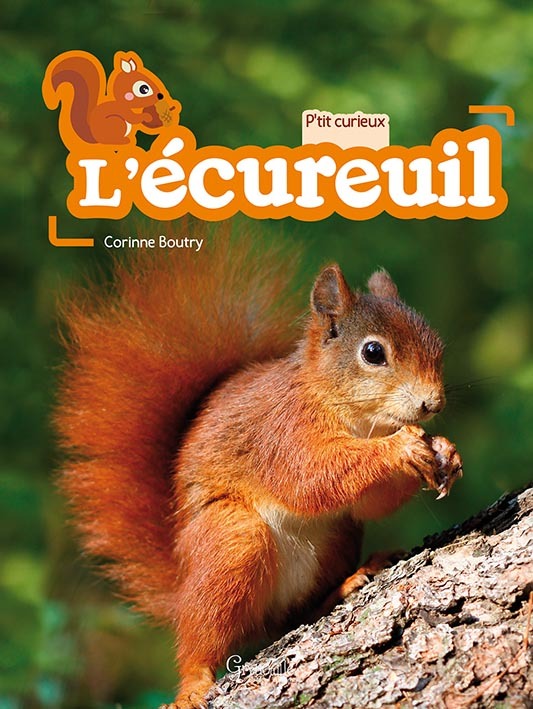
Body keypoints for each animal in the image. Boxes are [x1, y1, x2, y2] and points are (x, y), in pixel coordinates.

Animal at [43, 50, 181, 145]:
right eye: (143, 89)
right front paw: (147, 116)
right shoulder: (123, 111)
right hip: (117, 123)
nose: (160, 95)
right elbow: (134, 117)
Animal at [55, 223, 463, 709]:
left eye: (437, 343)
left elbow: (368, 503)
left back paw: (345, 585)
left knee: (288, 617)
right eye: (373, 353)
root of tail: (181, 578)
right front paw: (400, 448)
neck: (359, 420)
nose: (433, 403)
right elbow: (311, 477)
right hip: (231, 540)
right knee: (205, 634)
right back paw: (193, 681)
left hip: (335, 538)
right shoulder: (282, 433)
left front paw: (445, 451)